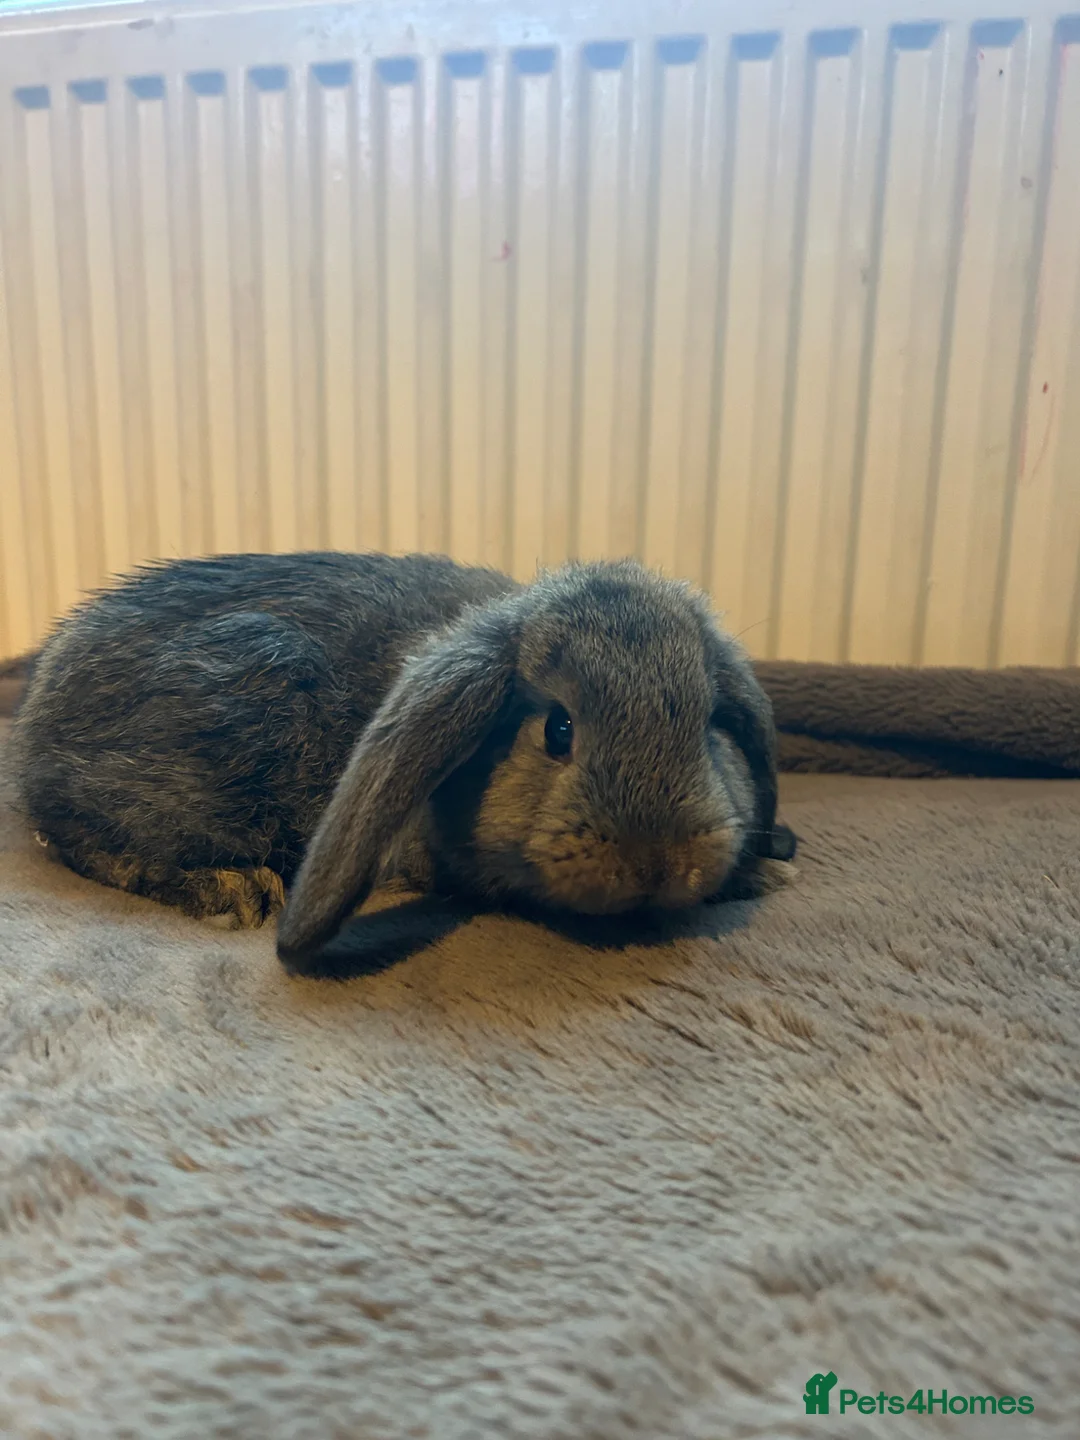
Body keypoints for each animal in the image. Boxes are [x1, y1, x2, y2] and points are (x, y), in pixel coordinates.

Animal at [9, 551, 796, 973]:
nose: (658, 860)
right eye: (558, 729)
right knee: (78, 840)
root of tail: (39, 714)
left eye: (707, 726)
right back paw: (232, 891)